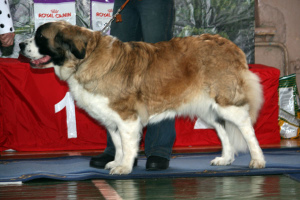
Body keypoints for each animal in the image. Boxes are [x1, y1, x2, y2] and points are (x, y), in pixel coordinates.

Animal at [19, 19, 266, 173]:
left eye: (40, 37)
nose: (20, 44)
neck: (85, 58)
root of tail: (230, 45)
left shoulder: (127, 116)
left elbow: (128, 145)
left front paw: (125, 167)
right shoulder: (112, 119)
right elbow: (118, 144)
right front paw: (116, 162)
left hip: (227, 103)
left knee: (247, 129)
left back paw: (257, 160)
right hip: (209, 108)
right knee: (223, 130)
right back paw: (225, 159)